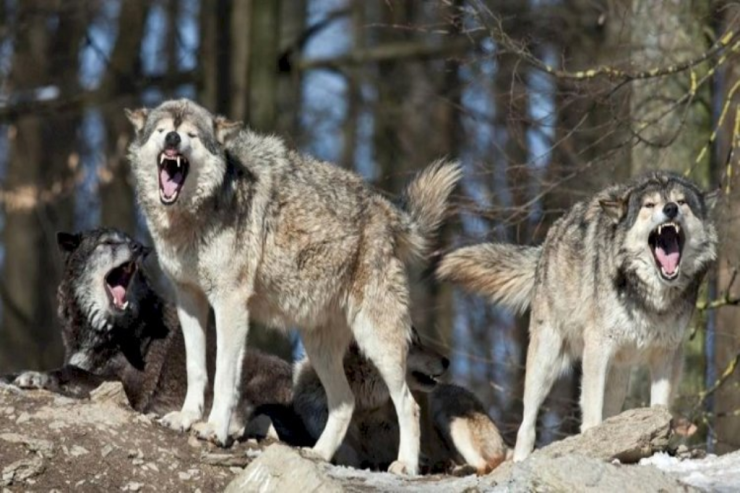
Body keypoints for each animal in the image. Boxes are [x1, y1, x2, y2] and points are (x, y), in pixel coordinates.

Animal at [2, 228, 292, 438]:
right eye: (108, 242)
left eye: (131, 241)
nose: (140, 248)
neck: (108, 330)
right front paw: (16, 374)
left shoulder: (128, 390)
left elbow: (71, 371)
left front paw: (36, 377)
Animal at [127, 99, 462, 472]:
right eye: (162, 129)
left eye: (190, 135)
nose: (172, 139)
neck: (194, 215)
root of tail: (386, 210)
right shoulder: (189, 299)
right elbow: (196, 368)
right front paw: (186, 418)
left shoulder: (230, 304)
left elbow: (225, 375)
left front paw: (214, 429)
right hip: (319, 348)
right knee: (345, 403)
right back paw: (318, 454)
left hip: (378, 342)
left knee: (408, 404)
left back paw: (405, 465)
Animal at [292, 326, 512, 472]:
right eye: (411, 344)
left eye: (418, 340)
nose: (447, 361)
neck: (364, 405)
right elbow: (347, 453)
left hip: (448, 418)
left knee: (484, 466)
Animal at [440, 170, 716, 462]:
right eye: (649, 205)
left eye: (682, 201)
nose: (670, 209)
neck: (651, 298)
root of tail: (546, 244)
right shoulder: (597, 348)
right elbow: (591, 409)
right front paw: (592, 442)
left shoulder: (667, 354)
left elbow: (660, 406)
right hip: (546, 361)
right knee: (527, 422)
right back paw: (522, 458)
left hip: (619, 375)